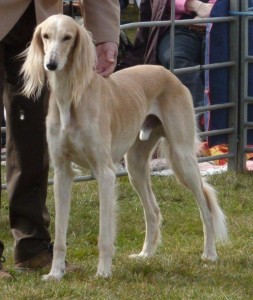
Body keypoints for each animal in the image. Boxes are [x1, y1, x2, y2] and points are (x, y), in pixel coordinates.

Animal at [20, 14, 228, 282]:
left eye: (67, 37)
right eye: (45, 36)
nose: (51, 64)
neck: (71, 98)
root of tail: (166, 71)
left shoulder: (105, 173)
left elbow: (104, 234)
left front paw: (103, 272)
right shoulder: (62, 173)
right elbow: (59, 235)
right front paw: (55, 273)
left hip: (183, 158)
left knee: (205, 206)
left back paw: (209, 254)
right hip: (136, 165)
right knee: (153, 210)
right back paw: (146, 254)